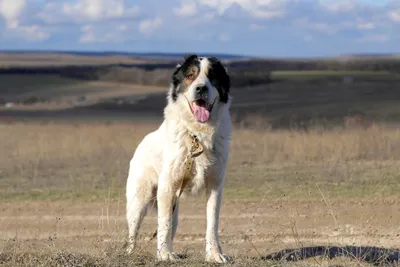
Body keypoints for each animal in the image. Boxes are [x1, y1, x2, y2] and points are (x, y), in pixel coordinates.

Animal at [125, 54, 231, 264]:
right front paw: (164, 255)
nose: (201, 88)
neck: (198, 134)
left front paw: (214, 254)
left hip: (173, 206)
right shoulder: (168, 186)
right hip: (138, 202)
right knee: (134, 233)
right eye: (190, 75)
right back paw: (131, 253)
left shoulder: (215, 185)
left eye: (212, 76)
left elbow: (212, 224)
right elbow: (163, 225)